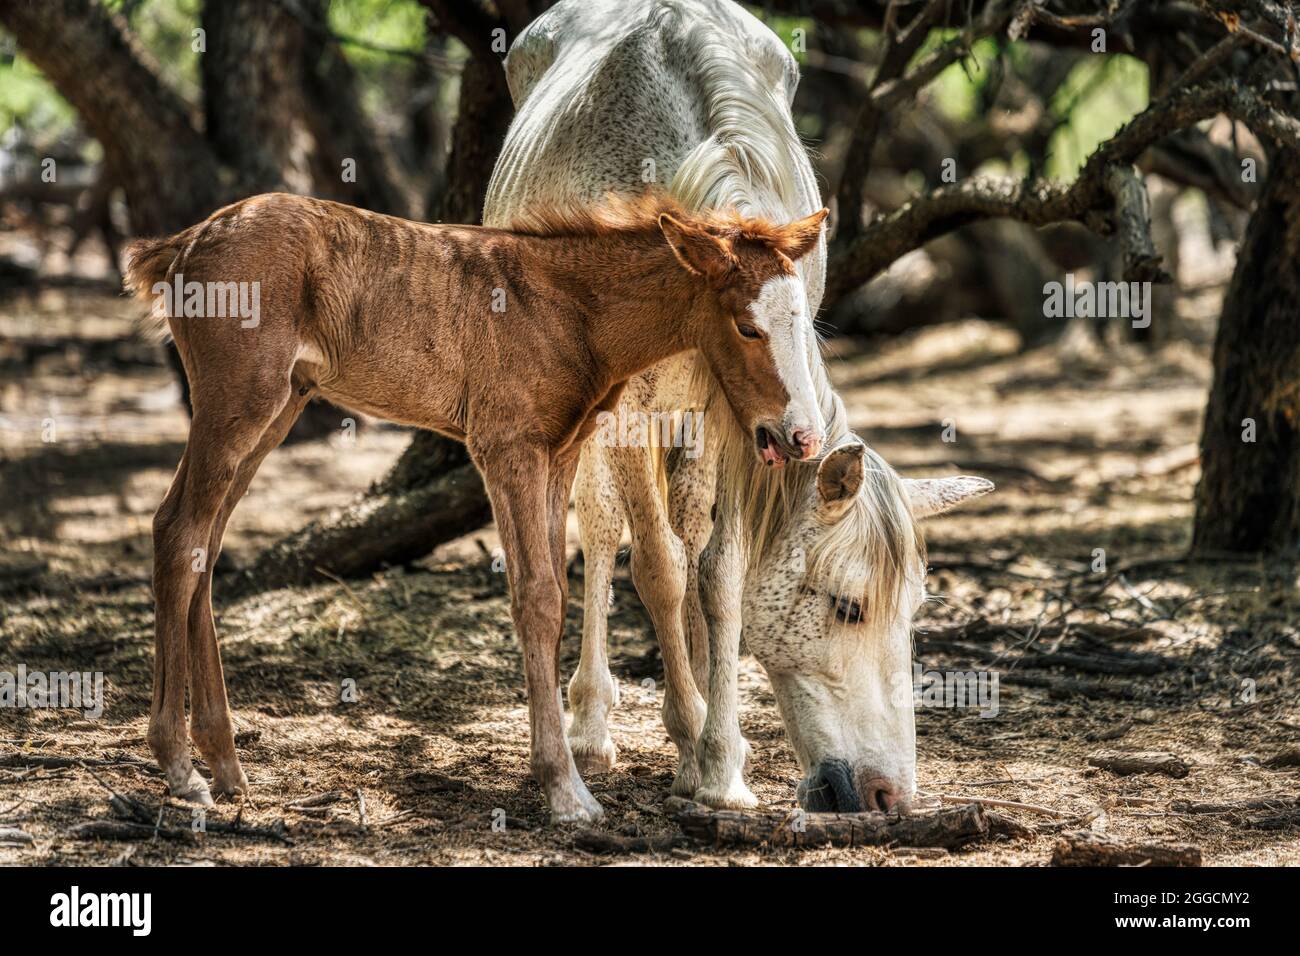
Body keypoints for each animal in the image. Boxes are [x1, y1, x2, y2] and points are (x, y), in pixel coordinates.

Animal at [125, 190, 827, 822]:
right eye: (747, 327)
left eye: (806, 323)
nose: (803, 437)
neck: (571, 310)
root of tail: (186, 242)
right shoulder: (505, 447)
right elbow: (536, 599)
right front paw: (565, 790)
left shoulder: (559, 453)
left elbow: (558, 594)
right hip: (237, 404)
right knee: (177, 530)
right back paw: (181, 769)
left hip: (279, 407)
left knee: (206, 542)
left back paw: (225, 763)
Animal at [484, 0, 992, 814]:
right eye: (848, 606)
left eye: (915, 609)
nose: (890, 795)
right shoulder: (629, 413)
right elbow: (656, 567)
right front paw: (695, 737)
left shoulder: (743, 423)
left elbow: (719, 575)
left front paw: (717, 760)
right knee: (605, 530)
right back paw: (594, 722)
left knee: (689, 533)